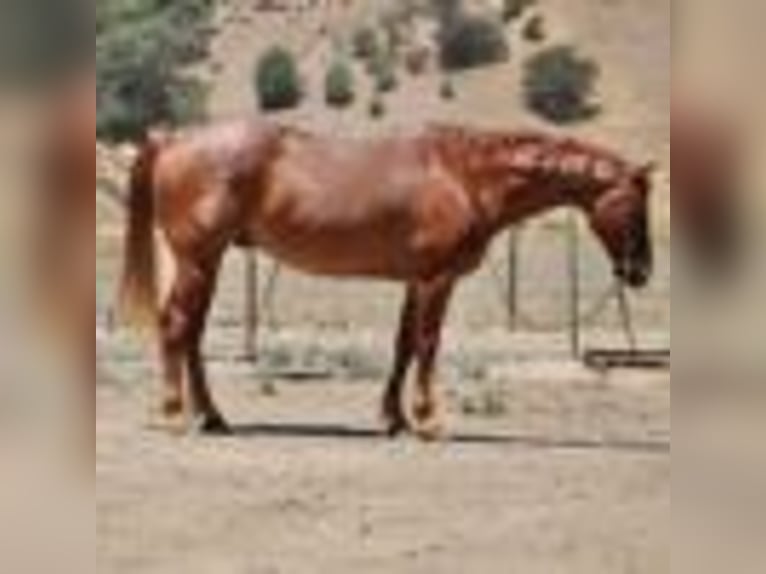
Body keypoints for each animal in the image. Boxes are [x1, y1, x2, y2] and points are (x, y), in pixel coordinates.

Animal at [118, 120, 655, 439]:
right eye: (636, 205)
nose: (641, 272)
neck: (465, 176)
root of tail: (172, 139)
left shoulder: (416, 281)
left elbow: (404, 346)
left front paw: (393, 418)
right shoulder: (437, 279)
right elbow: (428, 344)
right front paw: (428, 420)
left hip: (206, 264)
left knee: (191, 335)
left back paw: (212, 416)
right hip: (196, 261)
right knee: (175, 327)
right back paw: (175, 414)